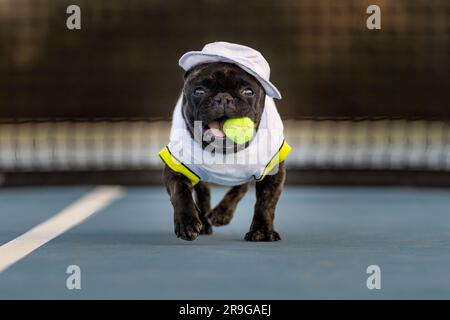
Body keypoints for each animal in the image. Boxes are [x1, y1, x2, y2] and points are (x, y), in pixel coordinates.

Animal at [160, 43, 290, 242]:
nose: (223, 98)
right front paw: (189, 221)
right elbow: (181, 192)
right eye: (199, 91)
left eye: (248, 92)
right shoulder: (176, 167)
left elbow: (266, 202)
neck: (224, 150)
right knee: (203, 192)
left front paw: (262, 230)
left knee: (240, 188)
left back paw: (222, 213)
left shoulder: (272, 171)